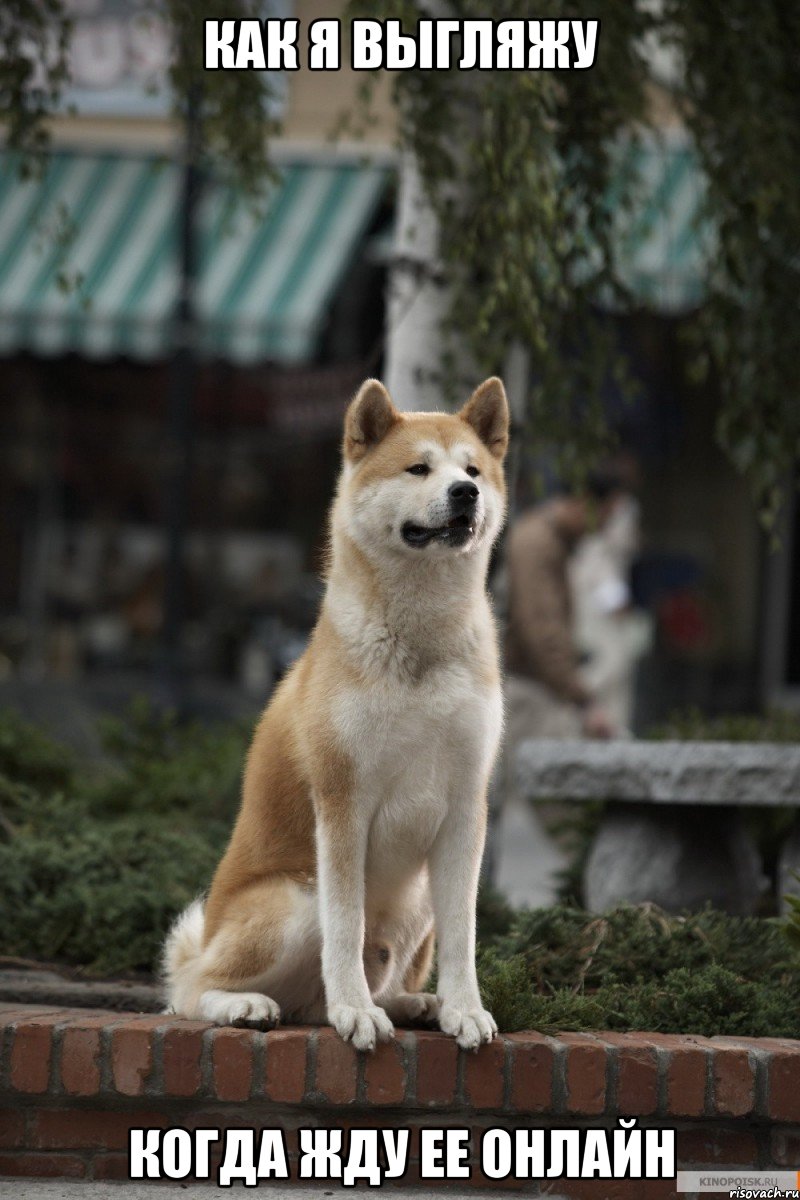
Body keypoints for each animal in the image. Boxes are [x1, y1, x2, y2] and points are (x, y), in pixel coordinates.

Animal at [164, 374, 506, 1051]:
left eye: (473, 469)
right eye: (419, 468)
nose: (466, 493)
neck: (420, 644)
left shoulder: (465, 806)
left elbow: (465, 934)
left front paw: (464, 1009)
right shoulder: (344, 801)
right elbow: (345, 928)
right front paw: (355, 1011)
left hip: (416, 900)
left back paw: (413, 1003)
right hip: (296, 900)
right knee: (189, 990)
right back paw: (251, 1004)